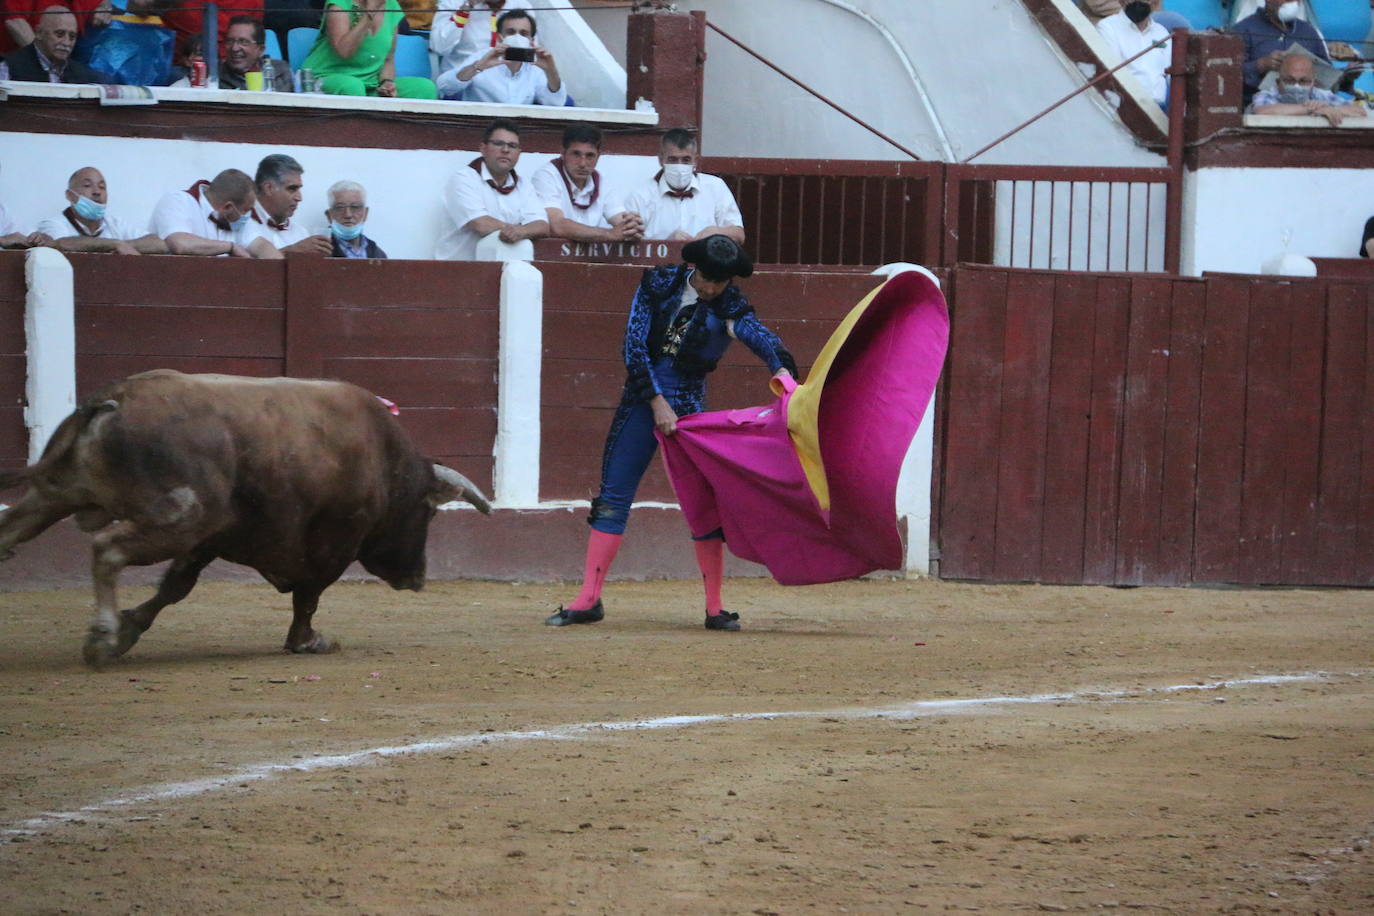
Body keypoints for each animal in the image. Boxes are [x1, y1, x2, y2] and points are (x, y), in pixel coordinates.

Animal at [0, 370, 491, 667]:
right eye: (428, 512)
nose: (418, 577)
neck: (384, 460)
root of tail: (112, 400)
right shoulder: (333, 544)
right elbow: (309, 595)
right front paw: (307, 641)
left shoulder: (211, 540)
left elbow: (175, 588)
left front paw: (130, 629)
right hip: (180, 517)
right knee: (107, 549)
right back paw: (100, 636)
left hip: (56, 495)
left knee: (10, 533)